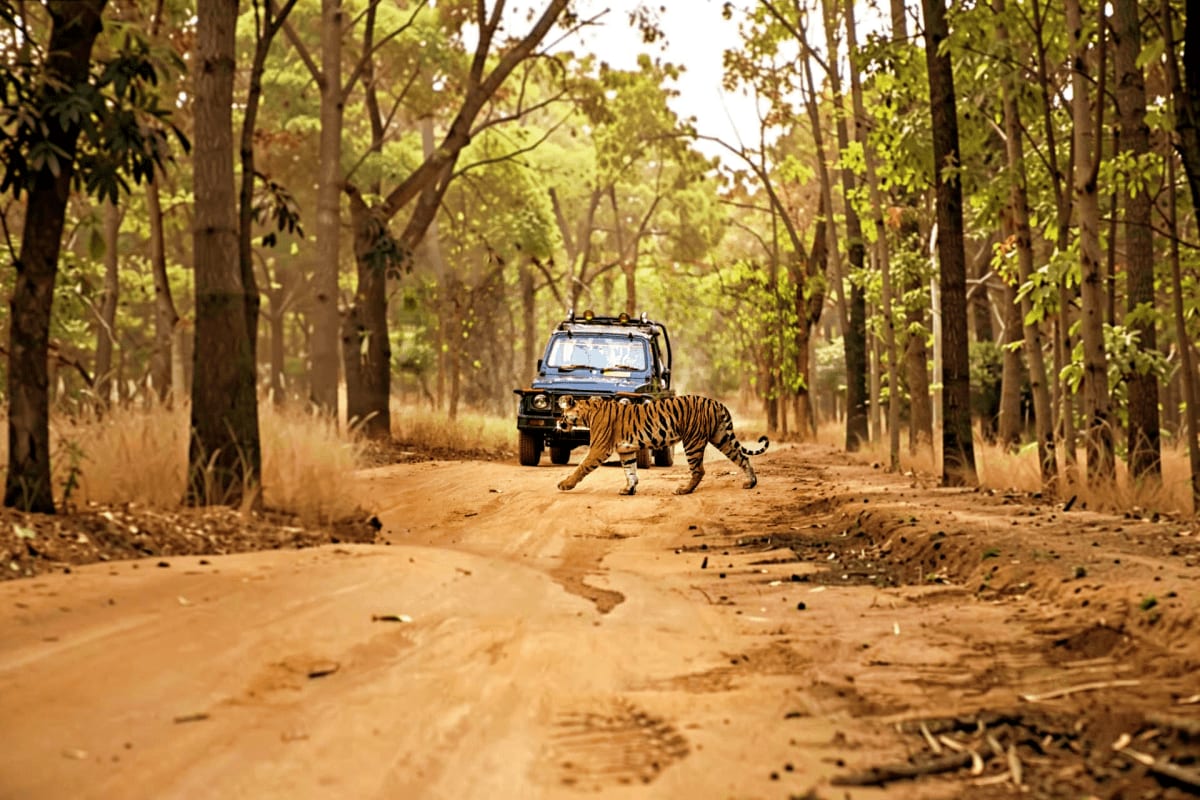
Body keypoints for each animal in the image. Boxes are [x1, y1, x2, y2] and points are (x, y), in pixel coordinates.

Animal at [555, 394, 769, 495]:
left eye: (562, 414)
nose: (557, 422)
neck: (587, 413)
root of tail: (715, 402)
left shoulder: (599, 448)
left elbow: (581, 467)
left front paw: (565, 484)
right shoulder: (626, 451)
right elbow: (630, 471)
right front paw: (629, 489)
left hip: (693, 441)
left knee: (699, 470)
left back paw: (684, 490)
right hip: (721, 437)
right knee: (742, 457)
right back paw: (750, 483)